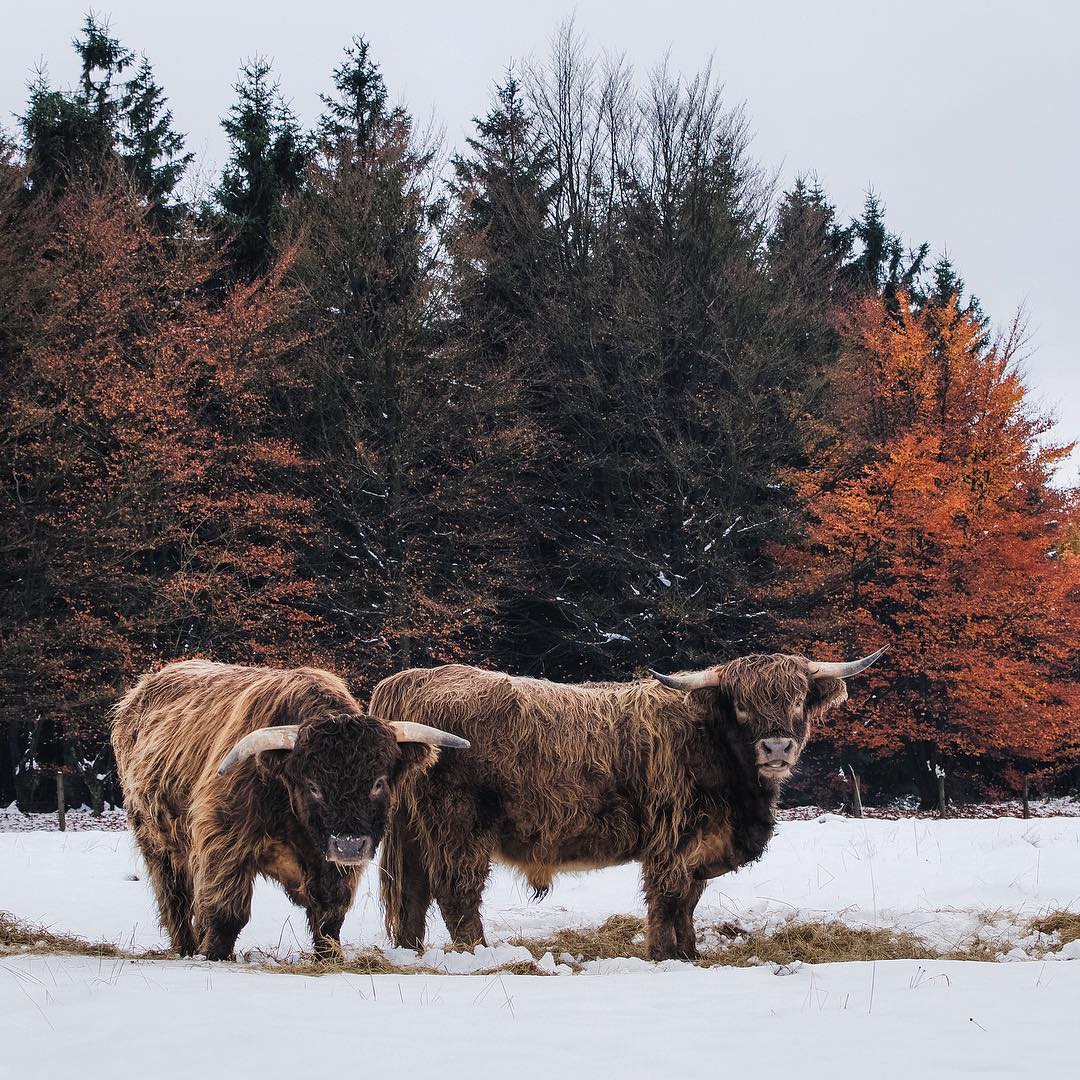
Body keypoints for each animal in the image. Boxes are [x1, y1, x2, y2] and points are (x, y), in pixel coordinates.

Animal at [112, 656, 468, 963]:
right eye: (313, 786)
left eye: (378, 782)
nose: (349, 845)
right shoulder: (224, 839)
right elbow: (227, 911)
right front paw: (215, 955)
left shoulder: (335, 864)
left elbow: (329, 914)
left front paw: (328, 957)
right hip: (156, 840)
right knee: (175, 897)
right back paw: (187, 947)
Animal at [375, 648, 881, 963]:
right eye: (741, 704)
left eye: (797, 699)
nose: (776, 748)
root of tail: (416, 678)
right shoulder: (671, 841)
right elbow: (668, 898)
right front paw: (663, 955)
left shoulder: (698, 847)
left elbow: (690, 901)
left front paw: (690, 953)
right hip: (459, 827)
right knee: (456, 893)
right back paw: (480, 954)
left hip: (415, 832)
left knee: (413, 892)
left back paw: (410, 952)